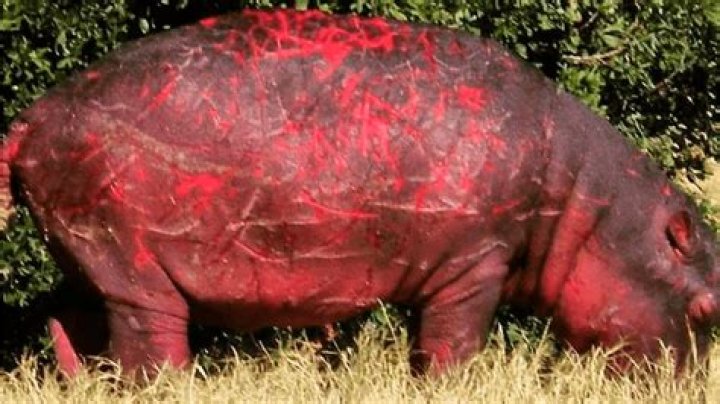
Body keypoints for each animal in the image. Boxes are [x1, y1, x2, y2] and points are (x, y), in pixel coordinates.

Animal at [1, 9, 718, 377]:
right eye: (709, 307)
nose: (687, 387)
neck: (587, 205)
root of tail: (29, 119)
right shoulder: (473, 263)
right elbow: (454, 342)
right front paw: (451, 385)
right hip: (131, 259)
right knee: (147, 340)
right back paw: (168, 385)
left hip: (88, 251)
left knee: (70, 321)